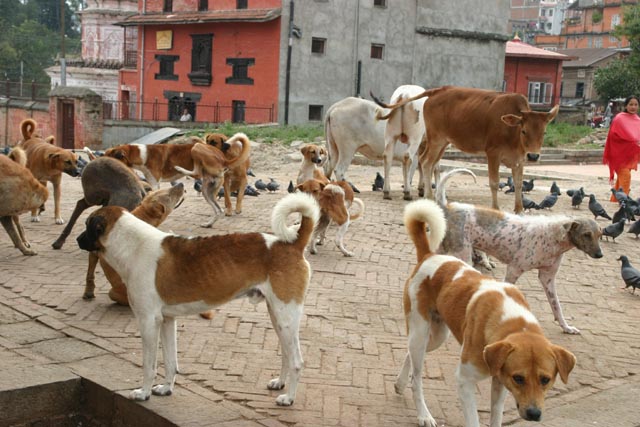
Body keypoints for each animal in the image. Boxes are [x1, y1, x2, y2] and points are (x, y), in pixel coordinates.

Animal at [76, 193, 320, 404]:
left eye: (87, 225)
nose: (78, 239)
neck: (133, 245)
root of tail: (293, 244)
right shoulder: (167, 321)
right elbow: (170, 362)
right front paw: (166, 388)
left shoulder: (148, 322)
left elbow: (149, 365)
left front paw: (144, 393)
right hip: (278, 317)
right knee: (287, 354)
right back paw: (280, 383)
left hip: (286, 316)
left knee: (296, 360)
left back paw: (289, 398)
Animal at [372, 86, 556, 213]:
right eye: (523, 130)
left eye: (544, 132)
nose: (534, 156)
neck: (511, 132)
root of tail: (438, 90)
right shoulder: (493, 154)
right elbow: (494, 182)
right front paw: (496, 209)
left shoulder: (519, 159)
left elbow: (518, 184)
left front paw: (519, 210)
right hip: (435, 140)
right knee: (425, 162)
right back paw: (428, 197)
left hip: (437, 142)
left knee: (417, 161)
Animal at [400, 200, 576, 427]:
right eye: (519, 378)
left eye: (545, 379)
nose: (534, 414)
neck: (511, 320)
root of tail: (429, 255)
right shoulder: (465, 381)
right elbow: (473, 420)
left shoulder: (500, 382)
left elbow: (496, 417)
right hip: (420, 330)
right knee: (417, 378)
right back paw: (424, 415)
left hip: (436, 336)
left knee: (411, 356)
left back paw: (399, 384)